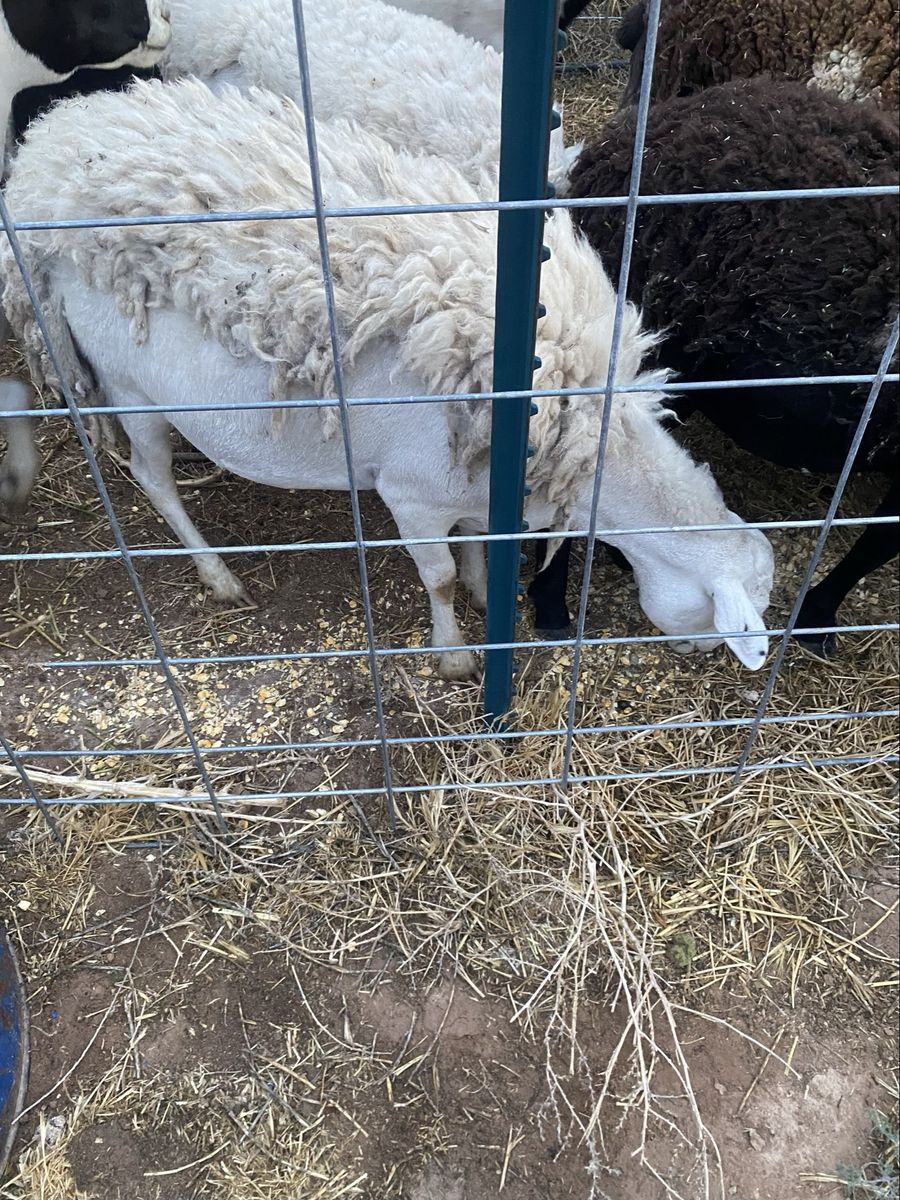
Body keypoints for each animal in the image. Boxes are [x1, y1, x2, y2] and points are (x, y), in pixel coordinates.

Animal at [2, 79, 775, 674]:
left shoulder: (468, 480)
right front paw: (455, 652)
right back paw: (218, 574)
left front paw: (485, 595)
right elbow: (438, 577)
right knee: (151, 477)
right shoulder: (412, 491)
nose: (702, 656)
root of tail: (47, 153)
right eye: (719, 616)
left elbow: (473, 548)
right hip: (126, 380)